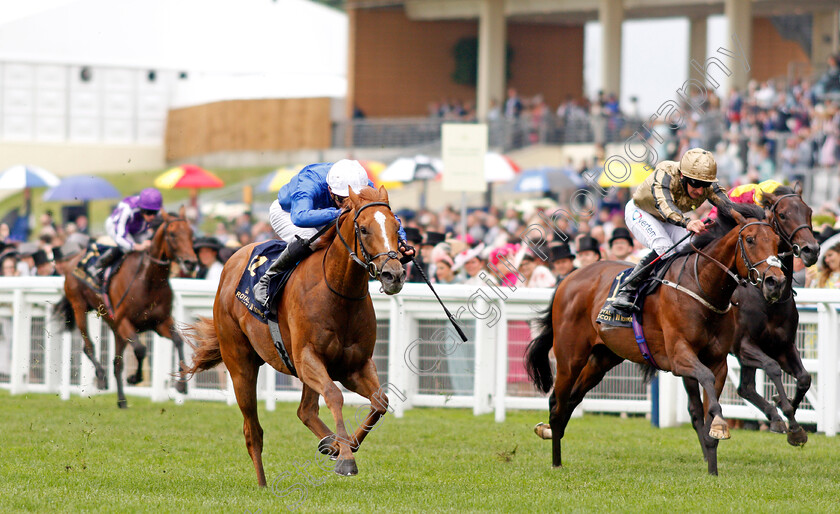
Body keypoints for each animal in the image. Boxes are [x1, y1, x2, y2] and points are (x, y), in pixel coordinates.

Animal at [56, 206, 199, 406]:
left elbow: (178, 341)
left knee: (117, 363)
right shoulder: (124, 322)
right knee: (89, 347)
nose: (191, 263)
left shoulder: (160, 322)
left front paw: (181, 384)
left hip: (115, 330)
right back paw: (102, 377)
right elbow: (141, 350)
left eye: (191, 233)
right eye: (172, 234)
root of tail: (71, 260)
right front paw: (134, 378)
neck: (149, 281)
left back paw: (122, 400)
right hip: (80, 307)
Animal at [185, 185, 406, 484]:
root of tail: (231, 263)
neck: (339, 292)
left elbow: (380, 402)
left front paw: (344, 445)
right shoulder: (307, 359)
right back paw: (263, 484)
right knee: (253, 430)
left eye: (396, 226)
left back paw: (330, 442)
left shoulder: (354, 366)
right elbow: (334, 396)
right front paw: (345, 458)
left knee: (305, 410)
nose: (394, 275)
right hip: (240, 363)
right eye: (363, 229)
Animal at [528, 202, 784, 474]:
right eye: (750, 239)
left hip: (603, 358)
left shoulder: (718, 362)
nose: (775, 282)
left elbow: (707, 407)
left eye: (777, 241)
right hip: (570, 357)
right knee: (557, 405)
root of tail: (568, 279)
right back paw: (556, 461)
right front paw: (720, 425)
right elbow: (704, 380)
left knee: (572, 399)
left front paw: (713, 468)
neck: (702, 286)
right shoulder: (679, 355)